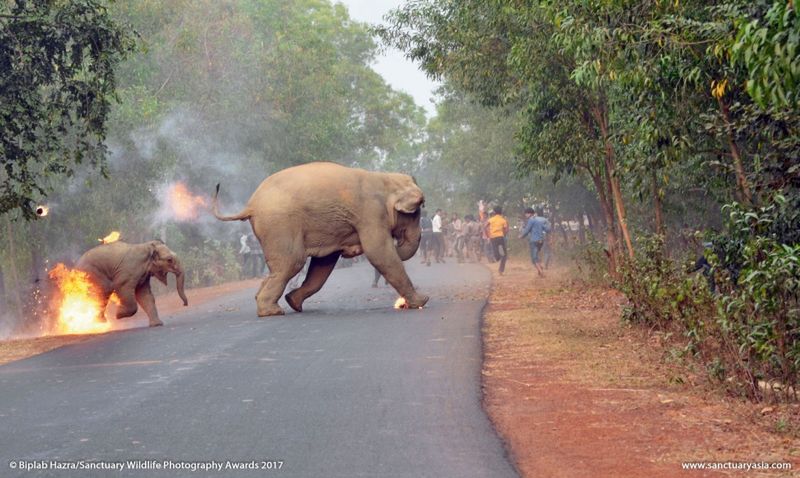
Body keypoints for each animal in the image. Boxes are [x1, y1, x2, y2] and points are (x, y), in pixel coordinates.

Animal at [209, 162, 428, 318]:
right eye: (416, 212)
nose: (398, 242)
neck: (385, 178)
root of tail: (251, 205)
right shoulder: (371, 213)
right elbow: (379, 252)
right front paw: (422, 301)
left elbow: (324, 264)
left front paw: (293, 301)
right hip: (279, 224)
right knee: (292, 263)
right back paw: (272, 312)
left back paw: (282, 305)